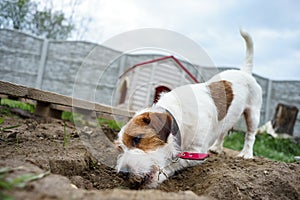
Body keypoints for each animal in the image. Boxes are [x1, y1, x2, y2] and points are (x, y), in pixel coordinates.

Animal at [115, 29, 262, 188]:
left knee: (250, 135)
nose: (122, 173)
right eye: (120, 148)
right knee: (223, 132)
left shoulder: (196, 152)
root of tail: (244, 72)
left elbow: (176, 162)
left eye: (137, 139)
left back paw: (246, 154)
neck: (179, 121)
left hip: (253, 114)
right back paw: (217, 148)